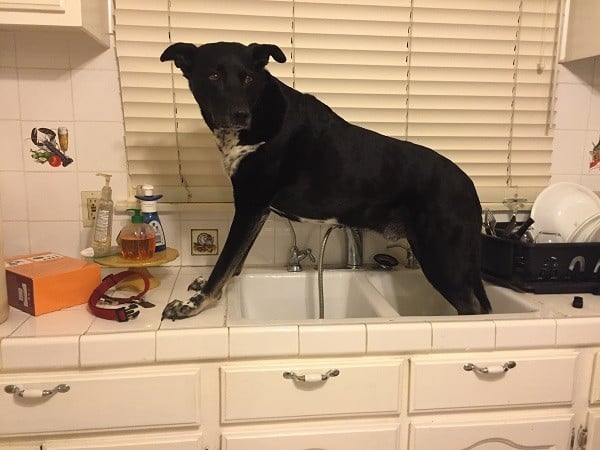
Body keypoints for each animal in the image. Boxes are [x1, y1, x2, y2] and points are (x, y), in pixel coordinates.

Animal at [161, 40, 492, 318]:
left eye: (248, 79)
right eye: (213, 76)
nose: (240, 115)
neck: (261, 112)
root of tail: (469, 186)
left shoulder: (250, 205)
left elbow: (225, 261)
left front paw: (194, 304)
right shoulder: (256, 210)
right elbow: (237, 260)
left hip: (441, 255)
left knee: (473, 308)